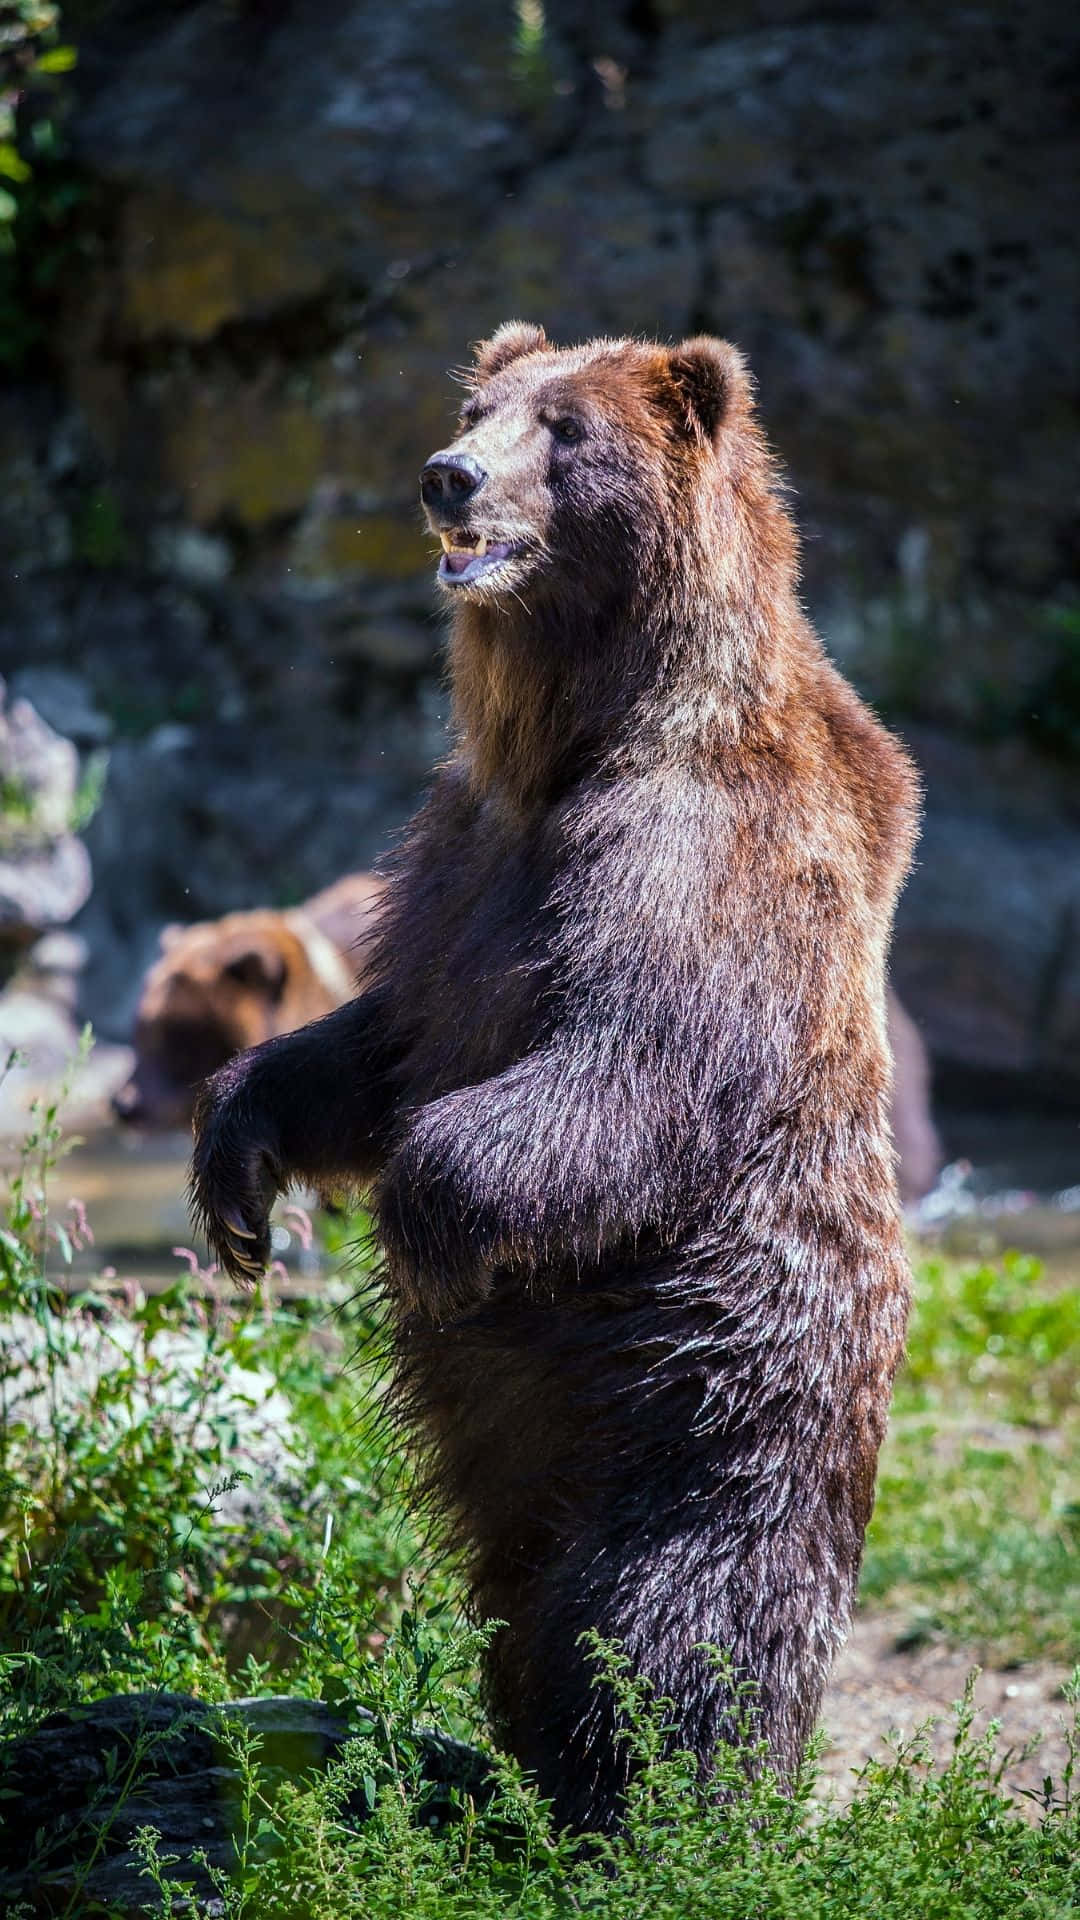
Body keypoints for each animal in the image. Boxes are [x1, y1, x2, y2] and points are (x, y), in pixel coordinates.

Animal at [189, 322, 910, 1835]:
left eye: (565, 429)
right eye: (481, 405)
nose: (446, 475)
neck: (577, 728)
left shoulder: (702, 853)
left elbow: (621, 1071)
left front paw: (421, 1230)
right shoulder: (455, 859)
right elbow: (383, 1043)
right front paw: (237, 1167)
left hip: (714, 1401)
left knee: (665, 1618)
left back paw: (657, 1809)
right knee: (517, 1607)